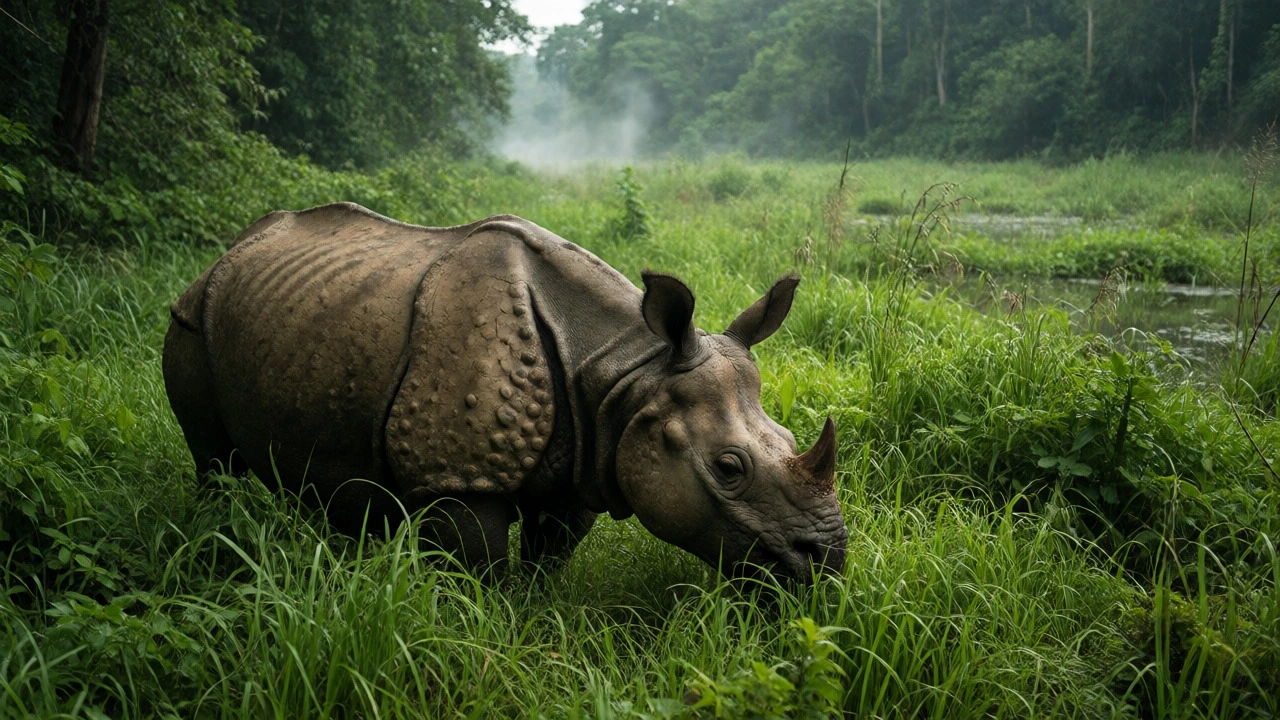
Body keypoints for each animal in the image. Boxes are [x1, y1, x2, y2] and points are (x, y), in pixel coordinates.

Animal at [163, 203, 848, 580]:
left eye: (789, 436)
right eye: (729, 468)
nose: (828, 562)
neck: (628, 370)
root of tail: (228, 251)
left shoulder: (592, 454)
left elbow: (550, 557)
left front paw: (535, 615)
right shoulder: (458, 476)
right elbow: (480, 572)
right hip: (190, 319)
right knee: (213, 459)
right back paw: (216, 529)